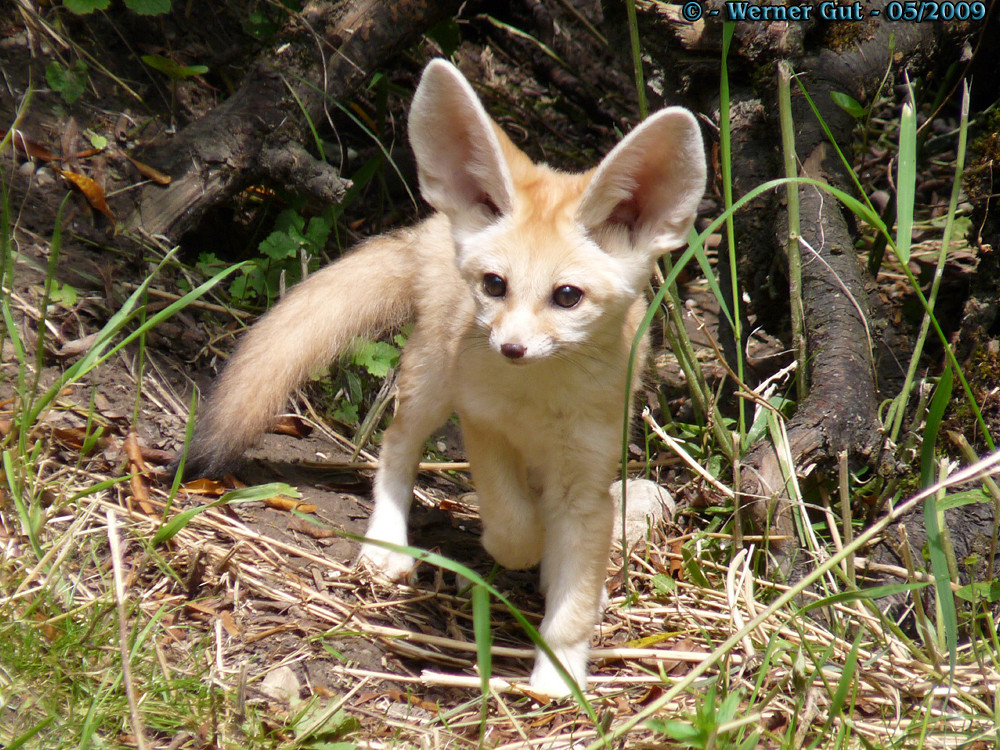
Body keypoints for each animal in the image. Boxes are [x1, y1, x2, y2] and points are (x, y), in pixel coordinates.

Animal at [184, 60, 708, 700]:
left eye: (567, 296)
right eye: (495, 285)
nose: (511, 348)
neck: (538, 404)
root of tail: (437, 221)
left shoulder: (588, 479)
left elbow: (574, 598)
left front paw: (559, 677)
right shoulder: (481, 425)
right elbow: (512, 527)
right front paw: (521, 551)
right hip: (432, 385)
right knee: (395, 448)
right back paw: (389, 544)